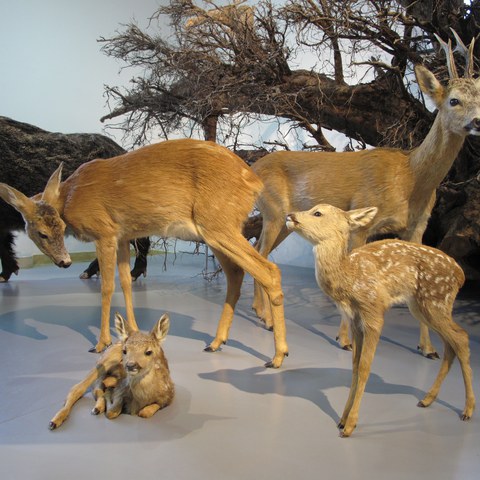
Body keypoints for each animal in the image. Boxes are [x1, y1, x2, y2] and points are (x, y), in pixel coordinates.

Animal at [0, 138, 286, 368]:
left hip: (219, 225)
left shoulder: (104, 233)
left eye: (52, 229)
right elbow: (126, 282)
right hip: (216, 231)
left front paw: (101, 343)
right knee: (236, 274)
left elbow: (107, 287)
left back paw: (277, 356)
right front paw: (133, 330)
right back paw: (216, 342)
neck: (70, 198)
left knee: (269, 270)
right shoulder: (123, 236)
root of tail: (254, 182)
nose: (64, 262)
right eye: (42, 232)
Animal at [253, 30, 478, 358]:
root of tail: (252, 166)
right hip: (272, 212)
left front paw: (427, 347)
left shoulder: (417, 227)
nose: (477, 122)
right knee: (261, 253)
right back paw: (268, 320)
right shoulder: (362, 221)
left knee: (259, 250)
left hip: (284, 221)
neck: (410, 178)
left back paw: (260, 313)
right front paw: (345, 339)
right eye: (454, 100)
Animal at [286, 204, 474, 436]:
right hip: (423, 307)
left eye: (318, 213)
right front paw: (342, 419)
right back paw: (427, 400)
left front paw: (350, 426)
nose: (290, 215)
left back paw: (467, 410)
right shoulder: (356, 320)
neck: (349, 276)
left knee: (462, 337)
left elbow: (365, 367)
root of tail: (460, 274)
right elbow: (355, 366)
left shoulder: (374, 312)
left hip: (435, 300)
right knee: (452, 343)